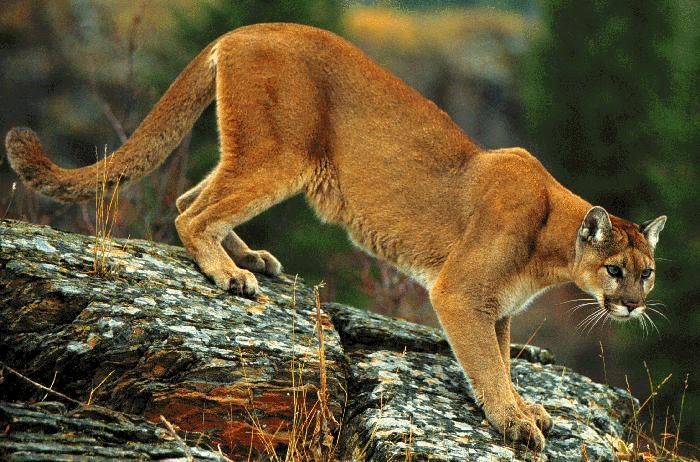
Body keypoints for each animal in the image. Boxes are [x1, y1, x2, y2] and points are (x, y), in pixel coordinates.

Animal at [4, 24, 668, 448]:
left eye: (649, 273)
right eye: (615, 270)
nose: (634, 305)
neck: (552, 239)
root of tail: (243, 30)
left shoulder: (497, 308)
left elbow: (499, 361)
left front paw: (520, 407)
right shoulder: (460, 292)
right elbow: (485, 363)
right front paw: (514, 420)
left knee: (190, 198)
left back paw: (252, 259)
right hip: (281, 153)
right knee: (191, 213)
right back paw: (230, 274)